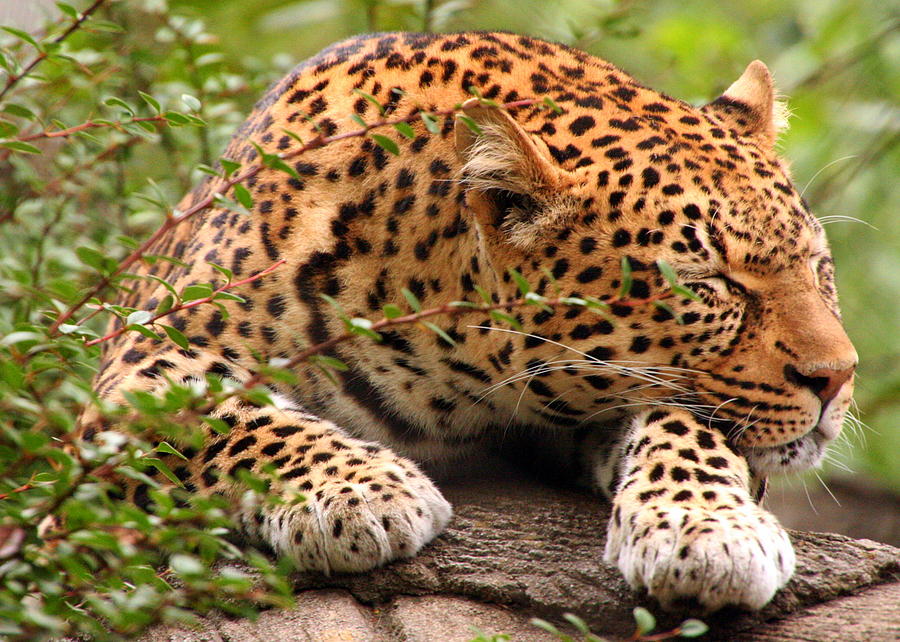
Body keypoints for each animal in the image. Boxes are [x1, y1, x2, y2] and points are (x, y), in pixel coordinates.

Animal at [82, 31, 856, 608]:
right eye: (706, 283)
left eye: (820, 267)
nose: (838, 378)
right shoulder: (142, 359)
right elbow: (230, 415)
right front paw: (362, 492)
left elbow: (687, 421)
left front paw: (707, 527)